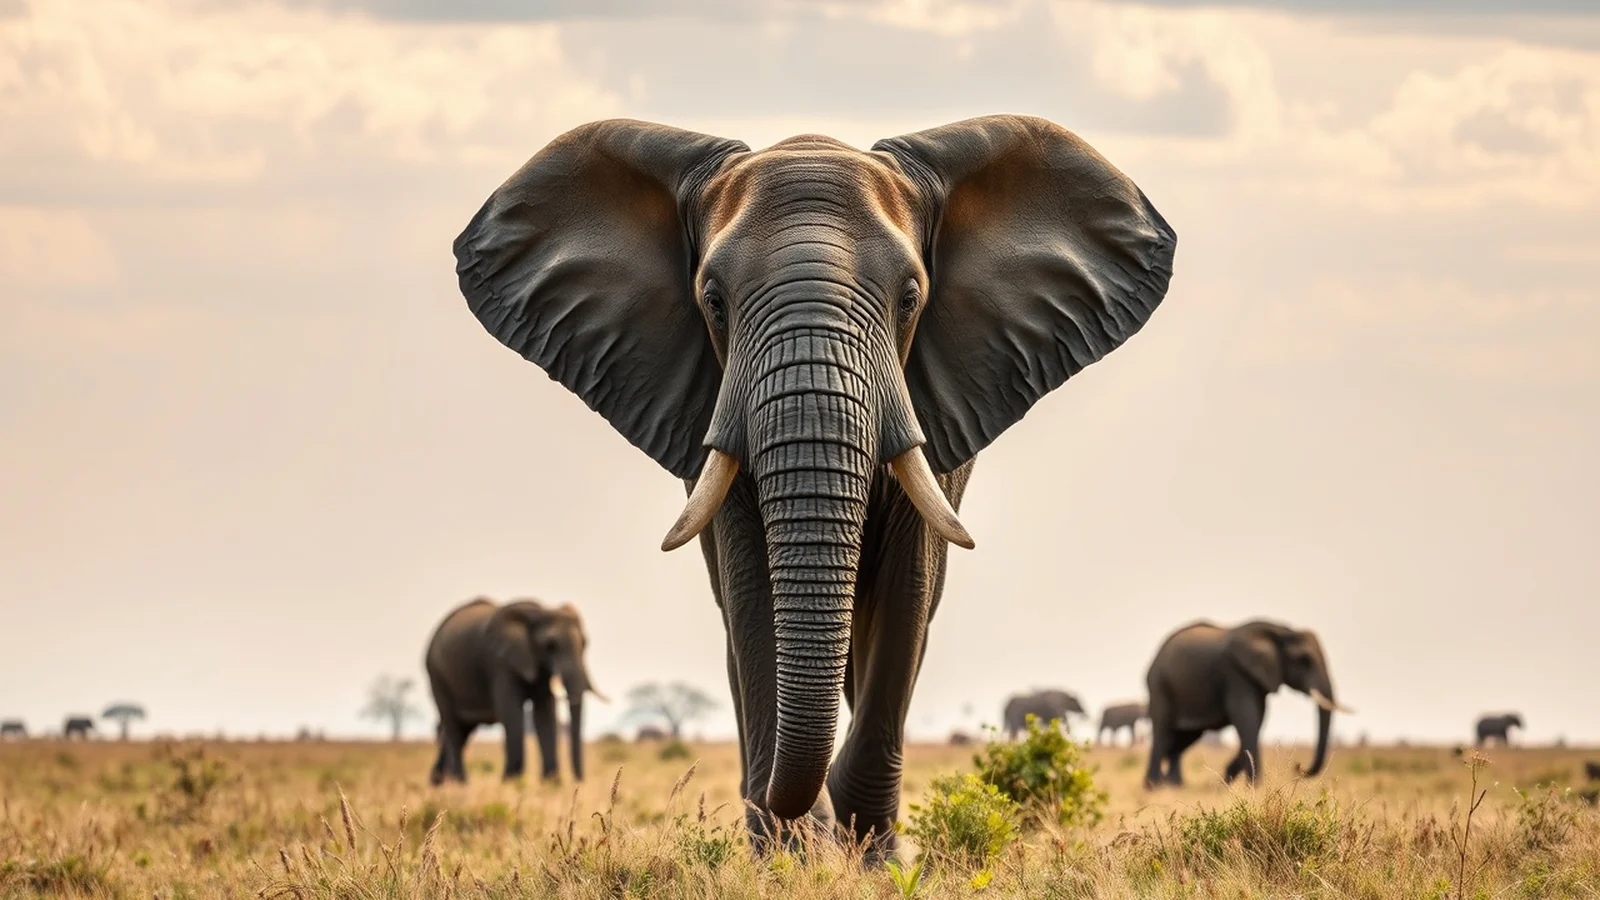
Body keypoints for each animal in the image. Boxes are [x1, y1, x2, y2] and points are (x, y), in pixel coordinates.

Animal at [424, 597, 603, 785]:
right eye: (550, 646)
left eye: (585, 644)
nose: (579, 782)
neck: (539, 611)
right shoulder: (500, 663)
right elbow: (511, 711)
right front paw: (511, 782)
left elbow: (545, 713)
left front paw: (550, 784)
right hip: (436, 675)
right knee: (452, 726)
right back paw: (460, 783)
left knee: (460, 731)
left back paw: (437, 783)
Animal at [452, 115, 1176, 852]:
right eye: (713, 302)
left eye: (910, 298)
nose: (793, 811)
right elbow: (751, 594)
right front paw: (793, 849)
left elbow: (908, 590)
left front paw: (868, 848)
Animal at [1144, 620, 1350, 788]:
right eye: (1304, 661)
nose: (1298, 765)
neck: (1280, 631)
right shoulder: (1236, 674)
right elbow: (1246, 717)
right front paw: (1253, 787)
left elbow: (1257, 721)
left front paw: (1228, 780)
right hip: (1160, 684)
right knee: (1162, 731)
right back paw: (1154, 787)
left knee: (1179, 740)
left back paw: (1172, 785)